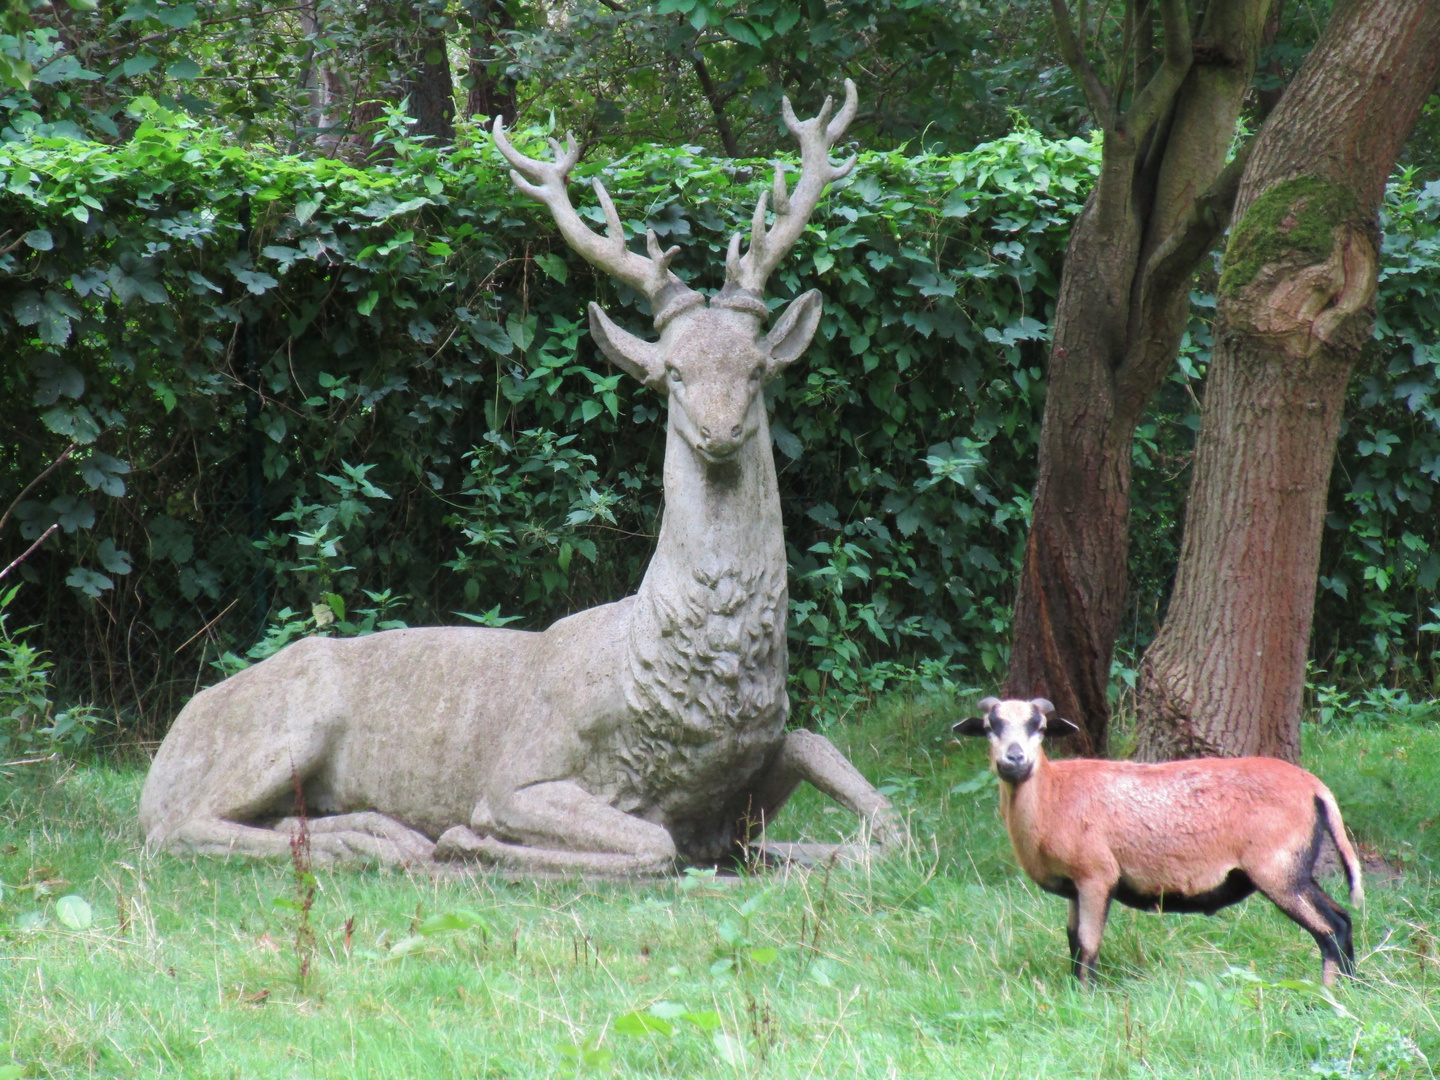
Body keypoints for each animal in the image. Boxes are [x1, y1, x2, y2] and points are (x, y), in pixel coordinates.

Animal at [956, 696, 1359, 984]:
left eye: (1038, 727)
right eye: (991, 727)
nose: (1015, 759)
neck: (1052, 798)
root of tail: (1314, 787)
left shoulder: (1096, 875)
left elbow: (1088, 943)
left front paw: (1086, 996)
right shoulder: (1074, 886)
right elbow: (1071, 940)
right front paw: (1073, 990)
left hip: (1276, 868)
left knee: (1329, 930)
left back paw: (1328, 994)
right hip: (1296, 867)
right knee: (1343, 918)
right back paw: (1355, 989)